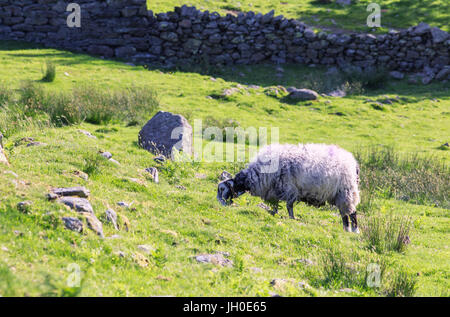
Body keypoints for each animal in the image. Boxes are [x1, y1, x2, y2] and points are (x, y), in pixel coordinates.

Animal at [216, 143, 360, 232]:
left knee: (352, 213)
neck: (256, 175)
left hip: (347, 191)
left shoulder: (289, 189)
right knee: (344, 214)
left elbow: (289, 206)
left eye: (222, 189)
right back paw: (346, 229)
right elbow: (275, 204)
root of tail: (353, 163)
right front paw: (273, 213)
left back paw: (354, 231)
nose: (220, 204)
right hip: (340, 195)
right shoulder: (275, 190)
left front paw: (291, 218)